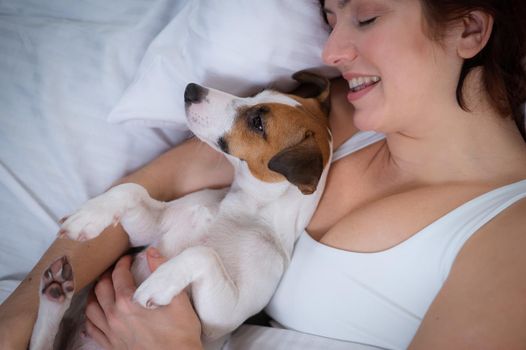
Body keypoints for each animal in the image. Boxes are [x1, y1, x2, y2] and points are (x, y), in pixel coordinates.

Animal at [28, 69, 332, 348]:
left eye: (257, 123)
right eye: (258, 94)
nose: (191, 89)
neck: (245, 210)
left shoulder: (222, 318)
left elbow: (203, 254)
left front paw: (161, 281)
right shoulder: (149, 230)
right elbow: (131, 190)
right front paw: (91, 215)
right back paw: (54, 296)